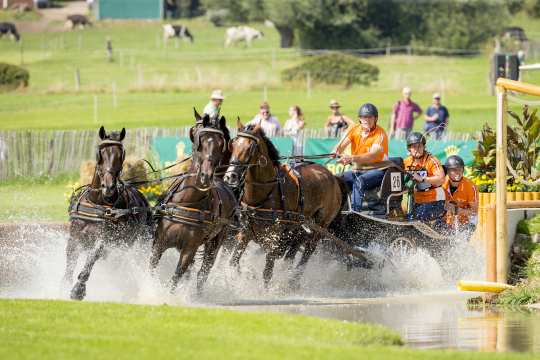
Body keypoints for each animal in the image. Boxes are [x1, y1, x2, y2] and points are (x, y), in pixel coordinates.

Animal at [66, 127, 153, 300]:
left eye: (121, 155)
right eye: (100, 153)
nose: (109, 187)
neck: (97, 204)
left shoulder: (107, 240)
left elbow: (92, 257)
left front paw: (78, 288)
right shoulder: (74, 237)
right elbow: (69, 264)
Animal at [152, 114, 236, 294]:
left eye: (221, 143)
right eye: (199, 141)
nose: (206, 176)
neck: (187, 201)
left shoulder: (189, 249)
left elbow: (176, 277)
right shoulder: (159, 242)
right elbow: (151, 268)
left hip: (216, 242)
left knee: (203, 272)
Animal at [225, 121, 344, 286]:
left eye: (251, 148)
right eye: (233, 144)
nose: (230, 176)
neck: (267, 191)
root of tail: (332, 177)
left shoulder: (273, 240)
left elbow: (267, 273)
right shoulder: (244, 233)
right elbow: (233, 262)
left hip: (320, 226)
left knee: (308, 250)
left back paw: (293, 281)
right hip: (301, 224)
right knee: (295, 247)